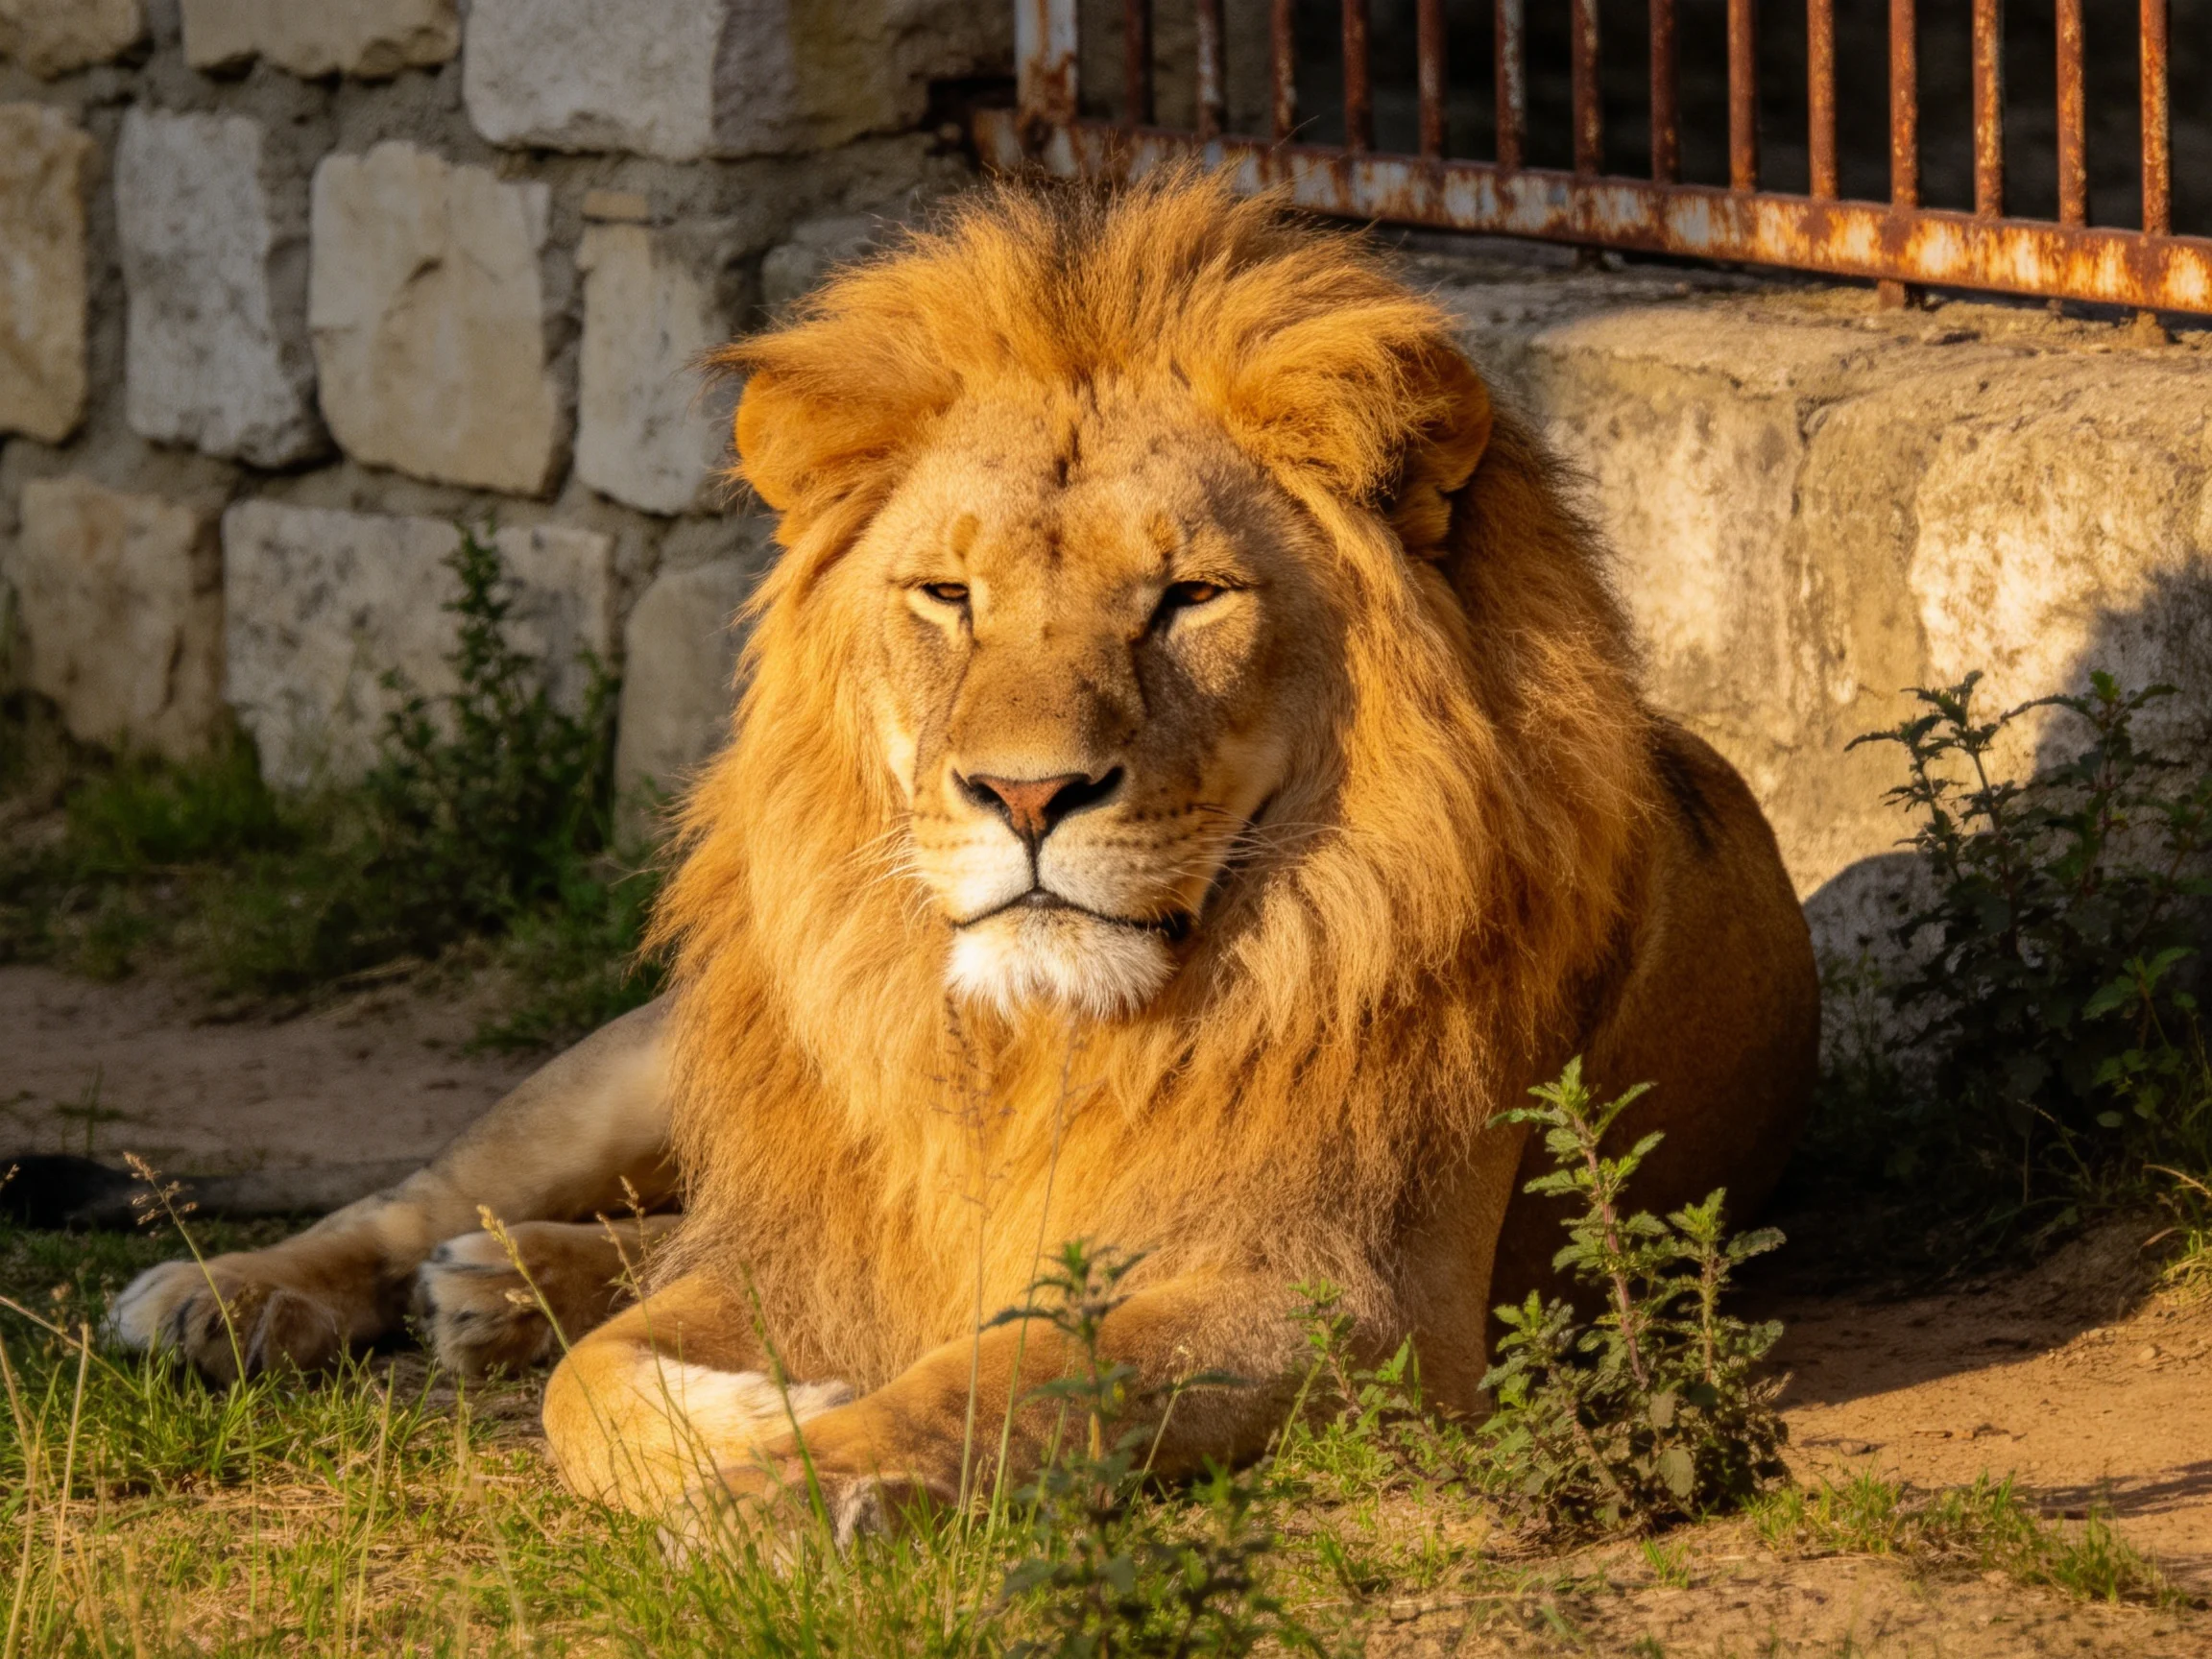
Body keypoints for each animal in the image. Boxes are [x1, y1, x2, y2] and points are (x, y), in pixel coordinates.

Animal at [112, 172, 1816, 1533]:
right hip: (664, 1058)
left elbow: (1009, 1376)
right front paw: (754, 1414)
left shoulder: (1345, 1298)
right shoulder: (824, 1238)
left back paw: (486, 1292)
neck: (1045, 1043)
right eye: (948, 595)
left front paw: (804, 1476)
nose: (1027, 794)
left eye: (1189, 598)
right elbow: (598, 1388)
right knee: (432, 1190)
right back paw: (232, 1296)